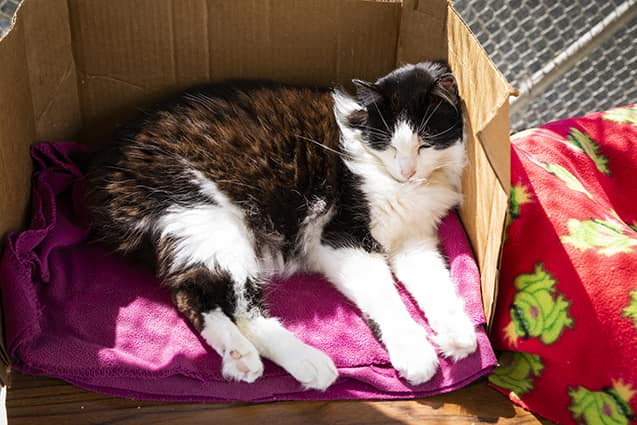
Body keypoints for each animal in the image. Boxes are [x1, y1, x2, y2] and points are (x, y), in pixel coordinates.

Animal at [88, 61, 476, 390]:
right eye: (389, 145)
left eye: (425, 144)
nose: (406, 171)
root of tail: (103, 176)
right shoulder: (339, 237)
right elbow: (385, 295)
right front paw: (415, 352)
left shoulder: (413, 239)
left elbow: (436, 283)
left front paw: (457, 333)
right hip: (209, 216)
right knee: (229, 303)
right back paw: (304, 363)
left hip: (193, 228)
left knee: (192, 293)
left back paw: (241, 358)